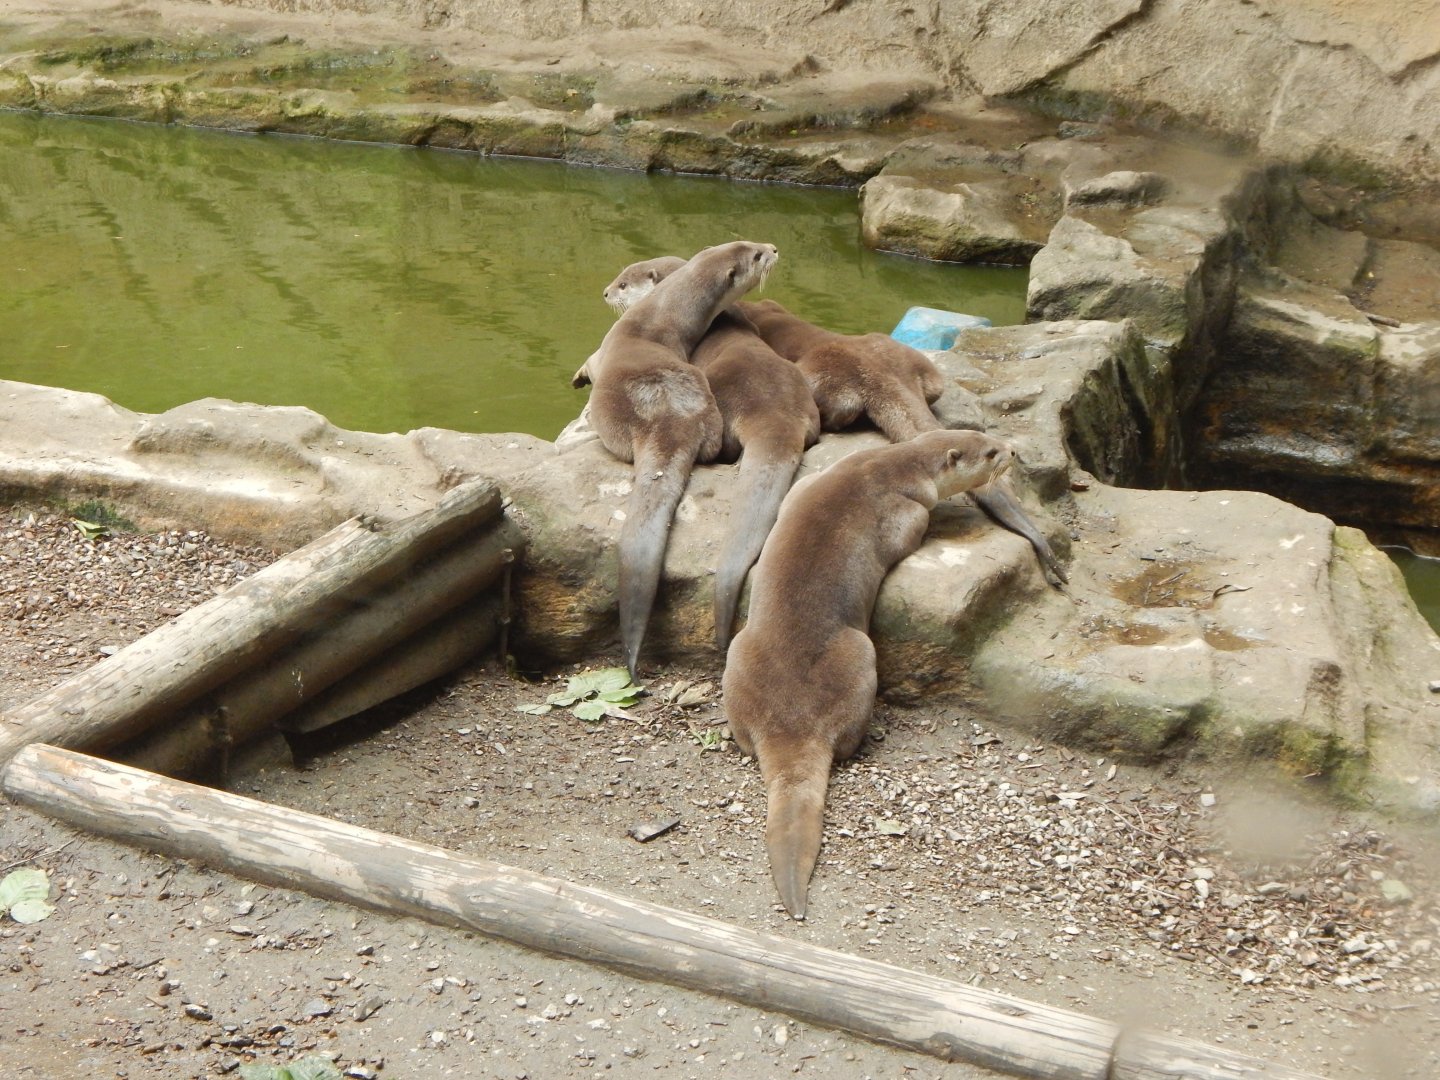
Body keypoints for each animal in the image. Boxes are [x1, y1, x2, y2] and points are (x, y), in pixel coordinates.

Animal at [722, 429, 1015, 918]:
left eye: (989, 435)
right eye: (990, 452)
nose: (1013, 450)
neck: (888, 464)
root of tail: (791, 725)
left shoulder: (816, 480)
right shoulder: (907, 507)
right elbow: (911, 530)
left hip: (738, 651)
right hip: (860, 652)